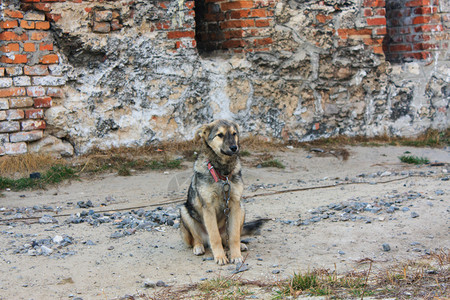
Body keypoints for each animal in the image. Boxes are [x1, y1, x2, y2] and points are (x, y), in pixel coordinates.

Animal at [178, 119, 264, 264]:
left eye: (234, 133)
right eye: (220, 135)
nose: (234, 148)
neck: (223, 173)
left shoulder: (234, 203)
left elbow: (234, 236)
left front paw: (235, 255)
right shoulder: (208, 207)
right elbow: (215, 237)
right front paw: (220, 257)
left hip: (242, 209)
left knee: (230, 238)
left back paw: (240, 245)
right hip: (185, 212)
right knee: (198, 238)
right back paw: (198, 247)